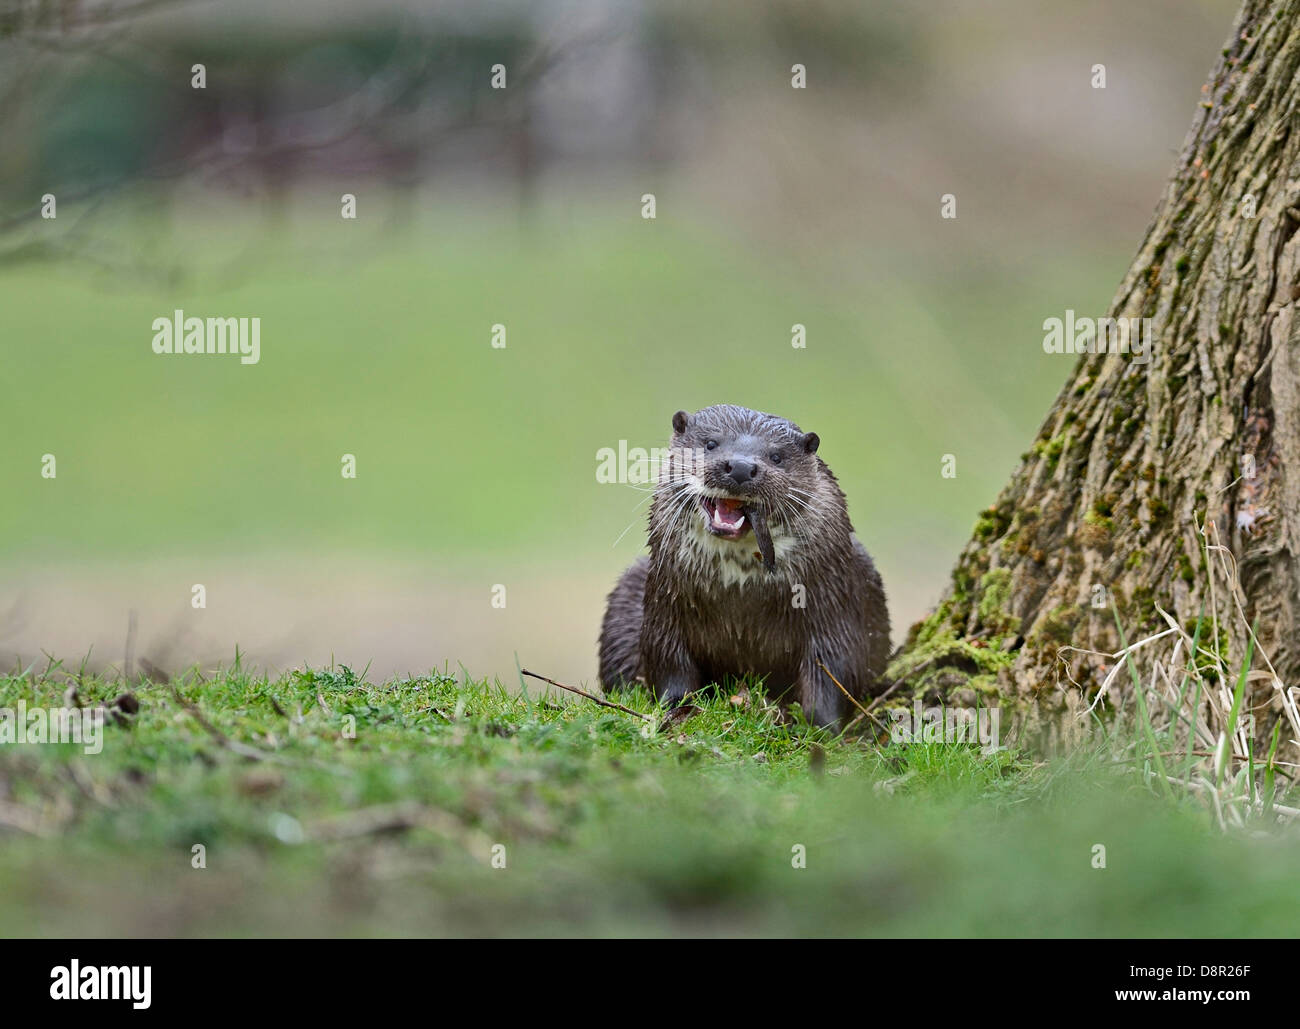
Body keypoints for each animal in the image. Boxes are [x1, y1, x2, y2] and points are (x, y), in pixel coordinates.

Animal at [600, 405, 894, 727]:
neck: (740, 590)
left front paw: (822, 727)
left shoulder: (832, 605)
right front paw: (676, 708)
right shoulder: (665, 607)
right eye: (711, 443)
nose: (740, 467)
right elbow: (668, 663)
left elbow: (833, 672)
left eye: (776, 456)